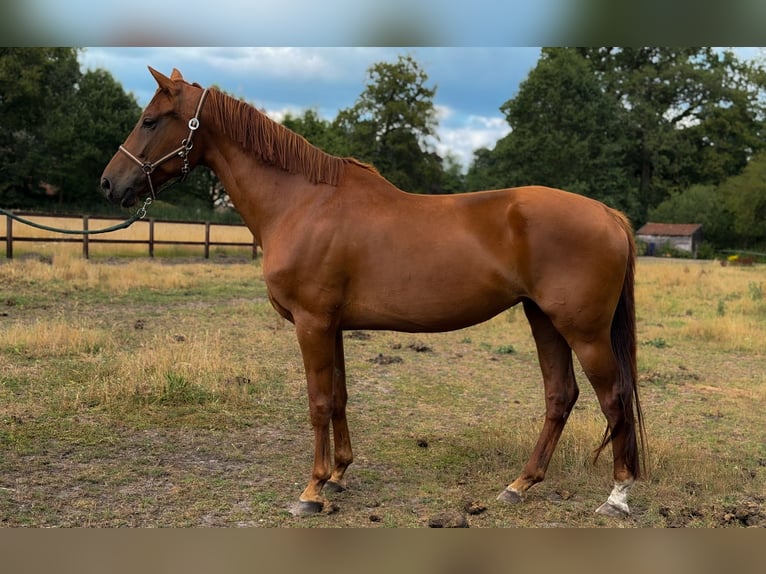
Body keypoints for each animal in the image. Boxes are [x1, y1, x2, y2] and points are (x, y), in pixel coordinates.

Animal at [101, 67, 646, 518]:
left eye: (150, 120)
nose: (109, 185)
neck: (302, 203)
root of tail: (608, 214)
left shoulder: (312, 322)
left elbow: (319, 402)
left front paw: (312, 491)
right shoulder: (332, 324)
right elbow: (340, 396)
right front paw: (339, 474)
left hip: (583, 330)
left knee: (613, 397)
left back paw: (617, 497)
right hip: (543, 319)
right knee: (561, 396)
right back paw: (520, 484)